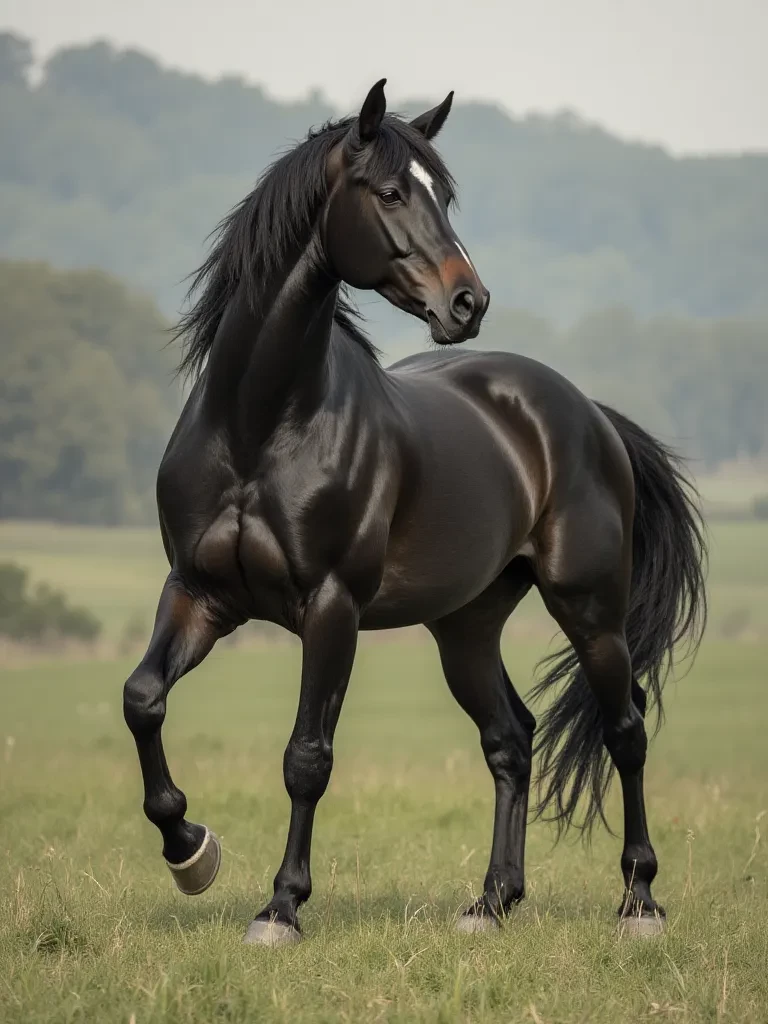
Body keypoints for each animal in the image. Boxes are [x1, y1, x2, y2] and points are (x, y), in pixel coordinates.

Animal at [123, 80, 707, 946]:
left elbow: (308, 756)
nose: (469, 301)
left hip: (590, 607)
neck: (260, 424)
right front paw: (191, 852)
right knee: (511, 739)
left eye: (443, 195)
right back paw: (491, 903)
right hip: (465, 625)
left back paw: (639, 901)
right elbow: (143, 700)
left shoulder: (330, 606)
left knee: (624, 728)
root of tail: (586, 413)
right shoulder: (199, 593)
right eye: (392, 192)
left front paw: (281, 908)